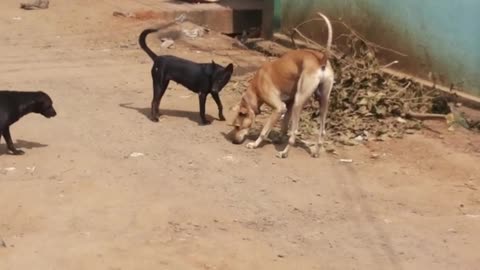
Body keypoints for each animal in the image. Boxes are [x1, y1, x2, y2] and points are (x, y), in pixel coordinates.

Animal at [229, 12, 334, 158]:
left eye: (237, 126)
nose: (234, 141)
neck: (255, 87)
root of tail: (321, 59)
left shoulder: (279, 108)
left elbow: (264, 131)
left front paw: (255, 144)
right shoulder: (288, 106)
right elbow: (284, 126)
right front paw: (278, 139)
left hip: (299, 102)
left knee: (294, 132)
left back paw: (284, 152)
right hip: (323, 100)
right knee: (322, 131)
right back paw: (316, 152)